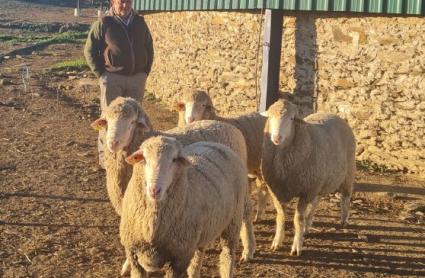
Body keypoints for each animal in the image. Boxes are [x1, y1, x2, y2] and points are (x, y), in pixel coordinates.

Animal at [120, 137, 248, 278]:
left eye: (174, 159)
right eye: (144, 158)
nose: (155, 190)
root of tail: (216, 144)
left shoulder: (180, 258)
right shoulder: (133, 254)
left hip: (233, 221)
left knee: (227, 255)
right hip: (202, 233)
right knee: (197, 260)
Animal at [260, 99, 356, 256]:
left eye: (292, 119)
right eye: (270, 117)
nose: (276, 138)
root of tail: (333, 114)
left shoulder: (305, 191)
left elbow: (297, 218)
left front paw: (296, 246)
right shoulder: (276, 190)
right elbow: (280, 216)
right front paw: (277, 241)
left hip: (348, 172)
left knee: (346, 196)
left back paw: (343, 219)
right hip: (320, 180)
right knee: (316, 202)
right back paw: (308, 223)